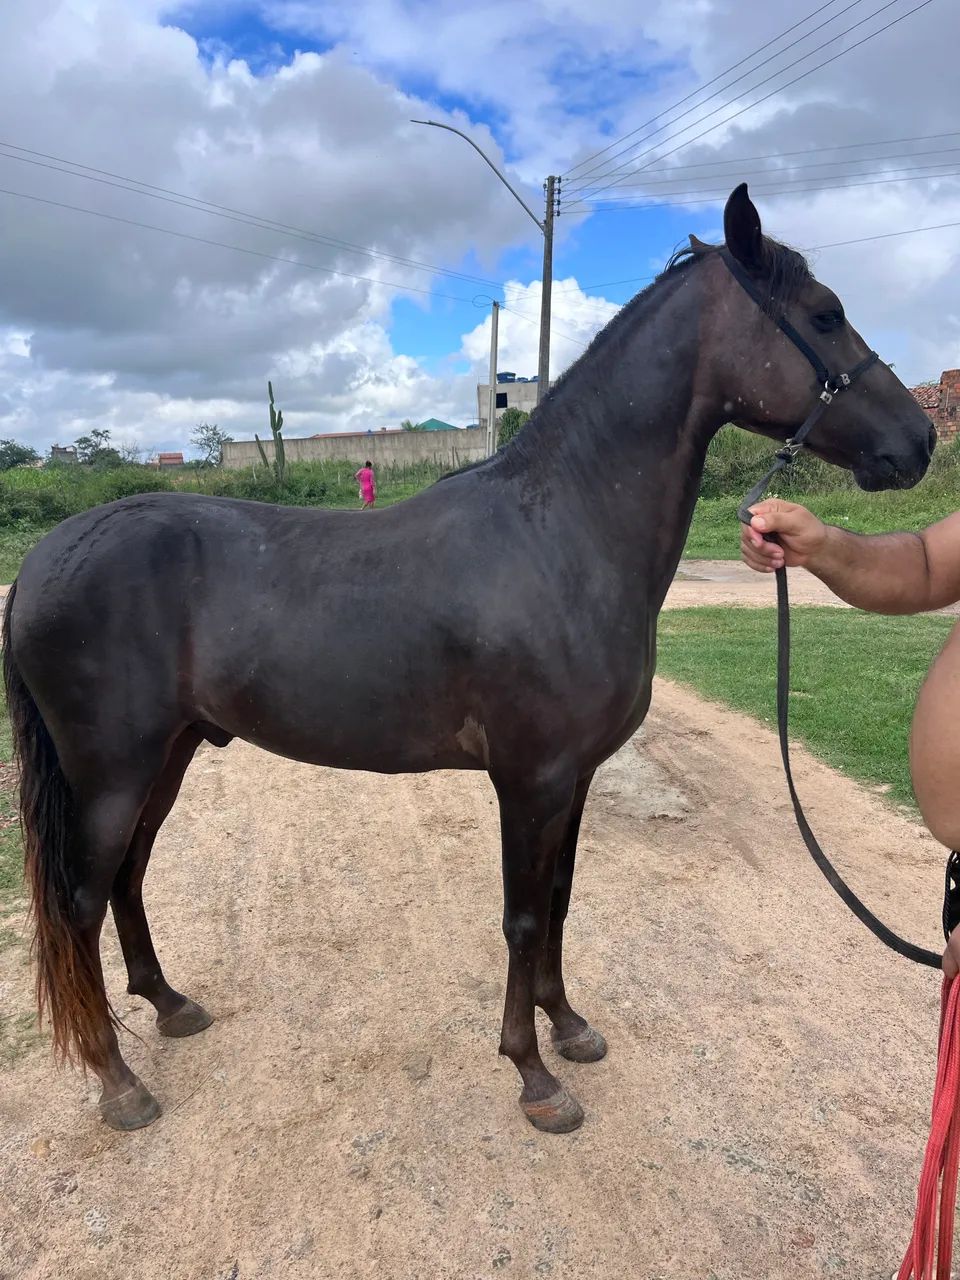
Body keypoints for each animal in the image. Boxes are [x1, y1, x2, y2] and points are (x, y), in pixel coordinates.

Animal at [3, 184, 936, 1135]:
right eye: (824, 315)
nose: (919, 441)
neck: (562, 531)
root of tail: (44, 560)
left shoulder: (575, 777)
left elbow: (560, 900)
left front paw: (570, 1027)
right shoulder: (530, 776)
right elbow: (522, 917)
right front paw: (534, 1075)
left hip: (172, 754)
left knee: (129, 877)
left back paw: (171, 1005)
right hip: (113, 773)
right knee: (81, 902)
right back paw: (118, 1081)